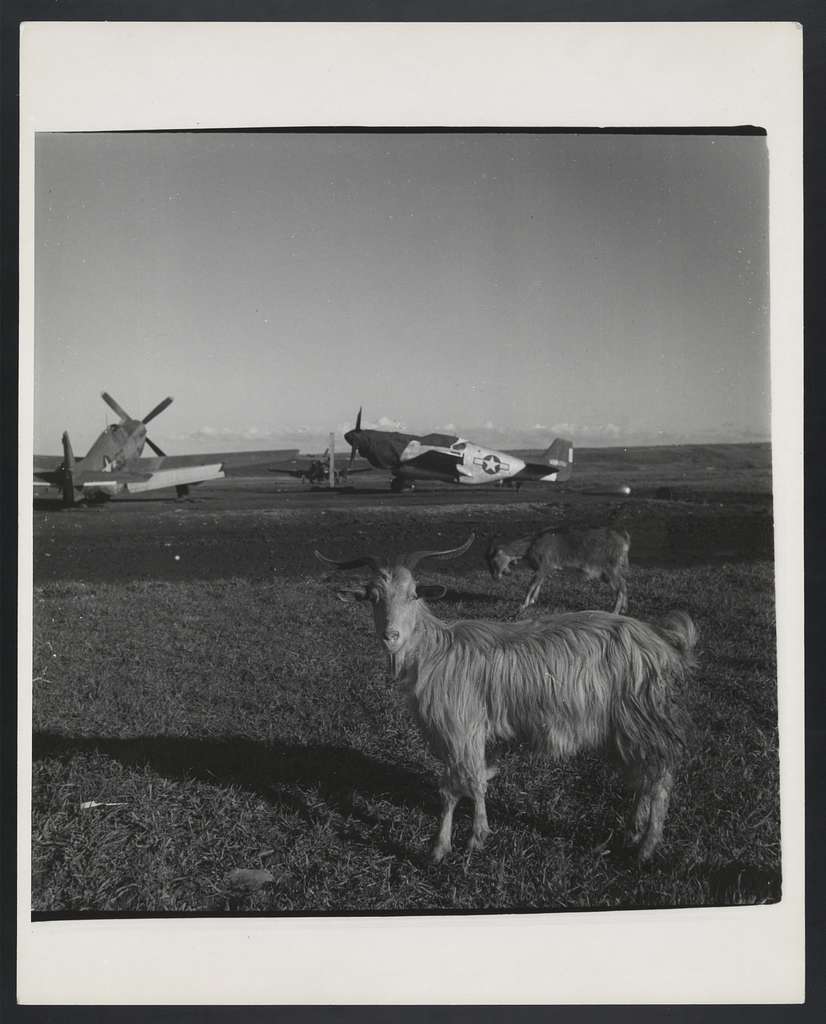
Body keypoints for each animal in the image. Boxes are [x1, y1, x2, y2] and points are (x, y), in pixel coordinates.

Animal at [486, 526, 631, 614]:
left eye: (493, 561)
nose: (495, 576)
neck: (530, 545)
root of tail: (624, 539)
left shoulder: (544, 565)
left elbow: (531, 585)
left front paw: (523, 605)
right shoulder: (545, 569)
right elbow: (539, 584)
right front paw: (532, 601)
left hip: (610, 567)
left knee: (620, 587)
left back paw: (614, 611)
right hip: (610, 571)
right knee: (623, 584)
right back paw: (624, 609)